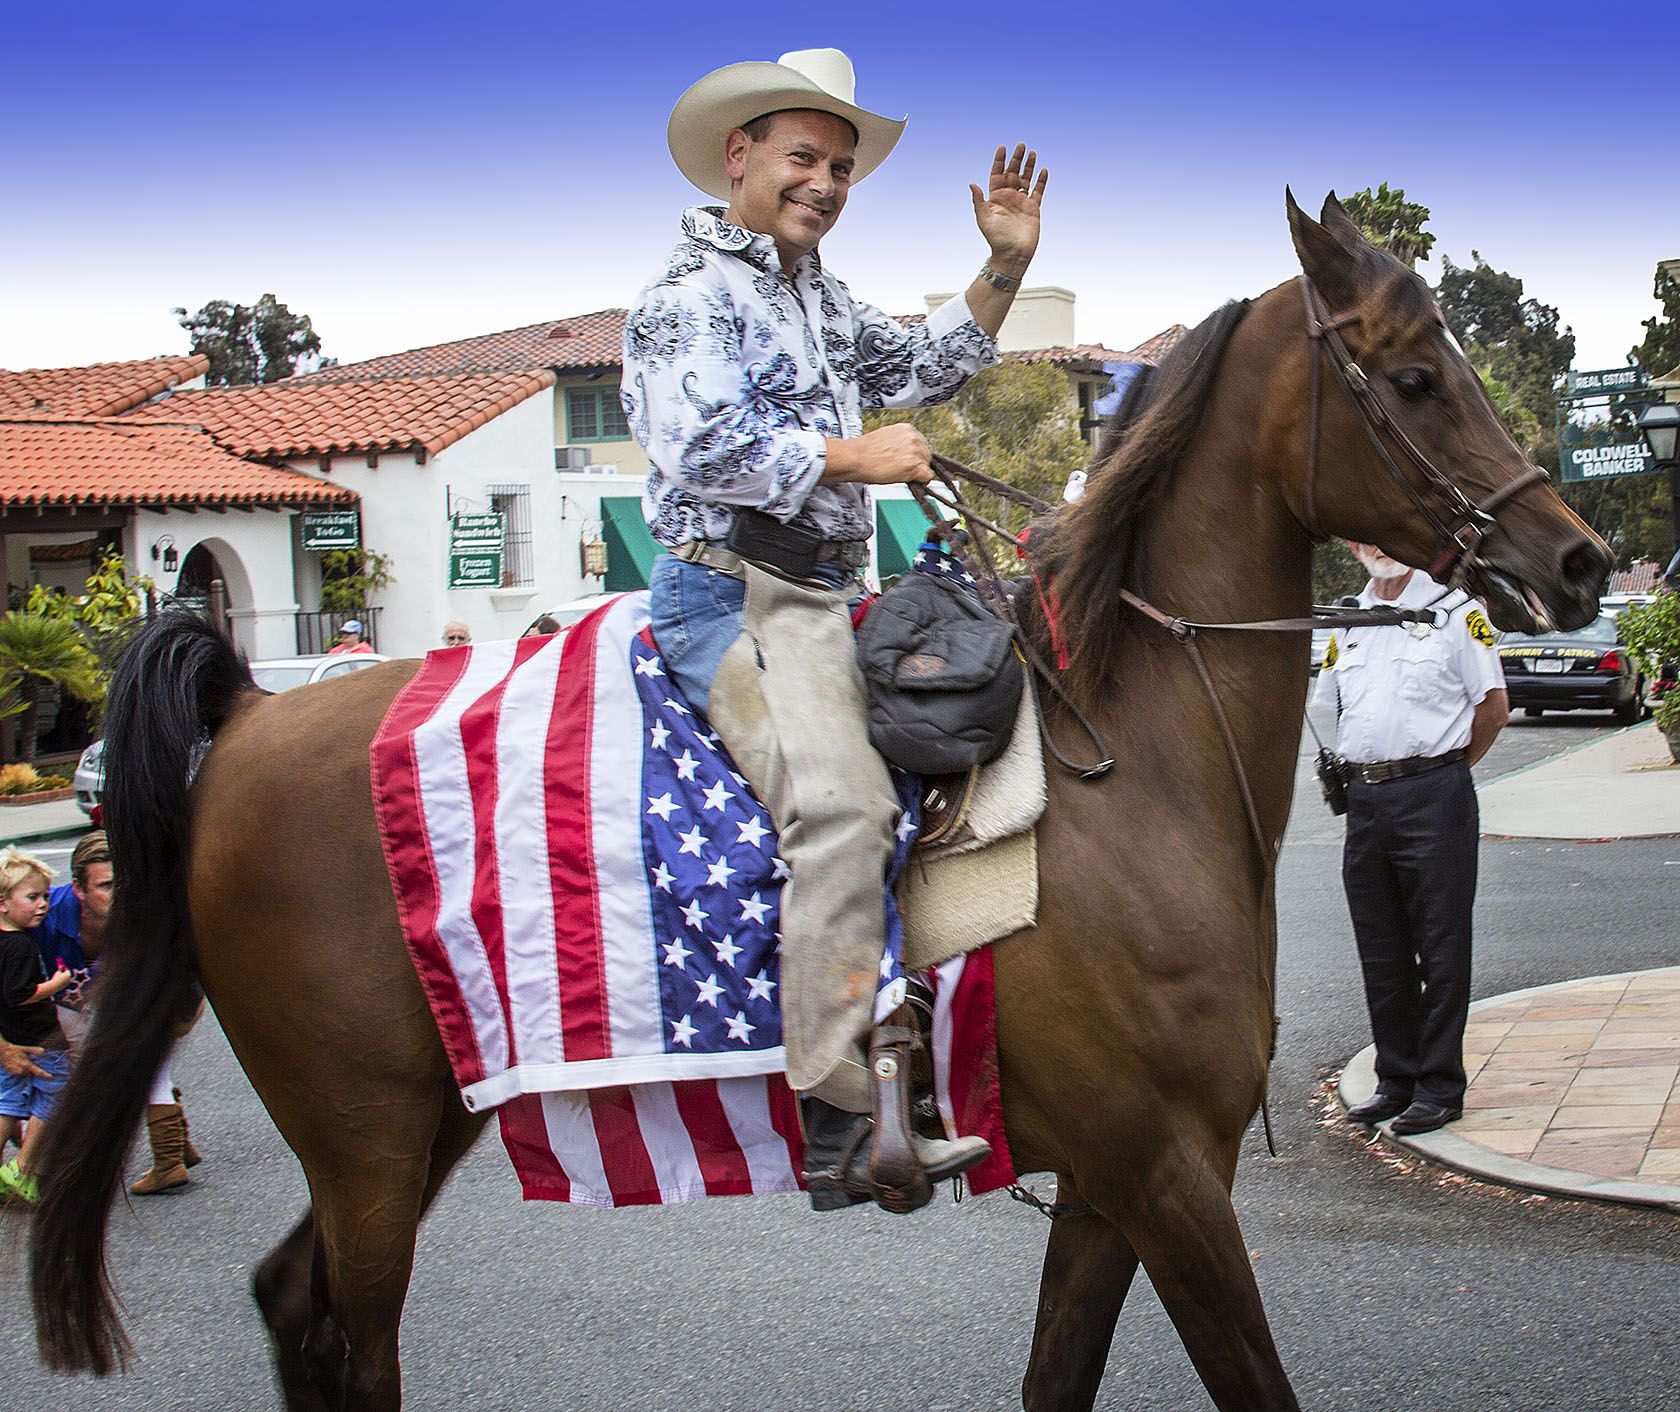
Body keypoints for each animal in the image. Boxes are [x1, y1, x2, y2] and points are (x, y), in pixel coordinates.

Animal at [29, 193, 1612, 1405]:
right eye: (1413, 377)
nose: (1580, 557)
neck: (1134, 759)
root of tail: (248, 718)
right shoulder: (1170, 1174)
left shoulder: (1108, 1190)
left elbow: (1056, 1377)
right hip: (366, 1134)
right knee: (350, 1332)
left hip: (422, 1125)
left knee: (296, 1302)